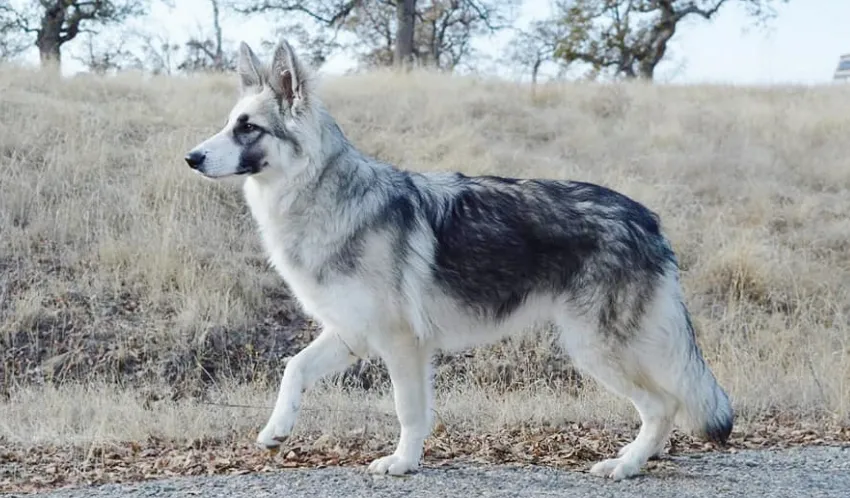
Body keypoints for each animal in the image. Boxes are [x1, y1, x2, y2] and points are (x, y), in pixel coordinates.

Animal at [182, 37, 732, 480]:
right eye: (228, 124)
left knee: (664, 404)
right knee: (665, 406)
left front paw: (402, 463)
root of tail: (648, 217)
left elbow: (408, 411)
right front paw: (276, 429)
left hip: (594, 348)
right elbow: (292, 369)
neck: (323, 196)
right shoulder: (350, 335)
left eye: (248, 128)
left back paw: (626, 465)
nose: (190, 157)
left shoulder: (401, 344)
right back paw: (637, 460)